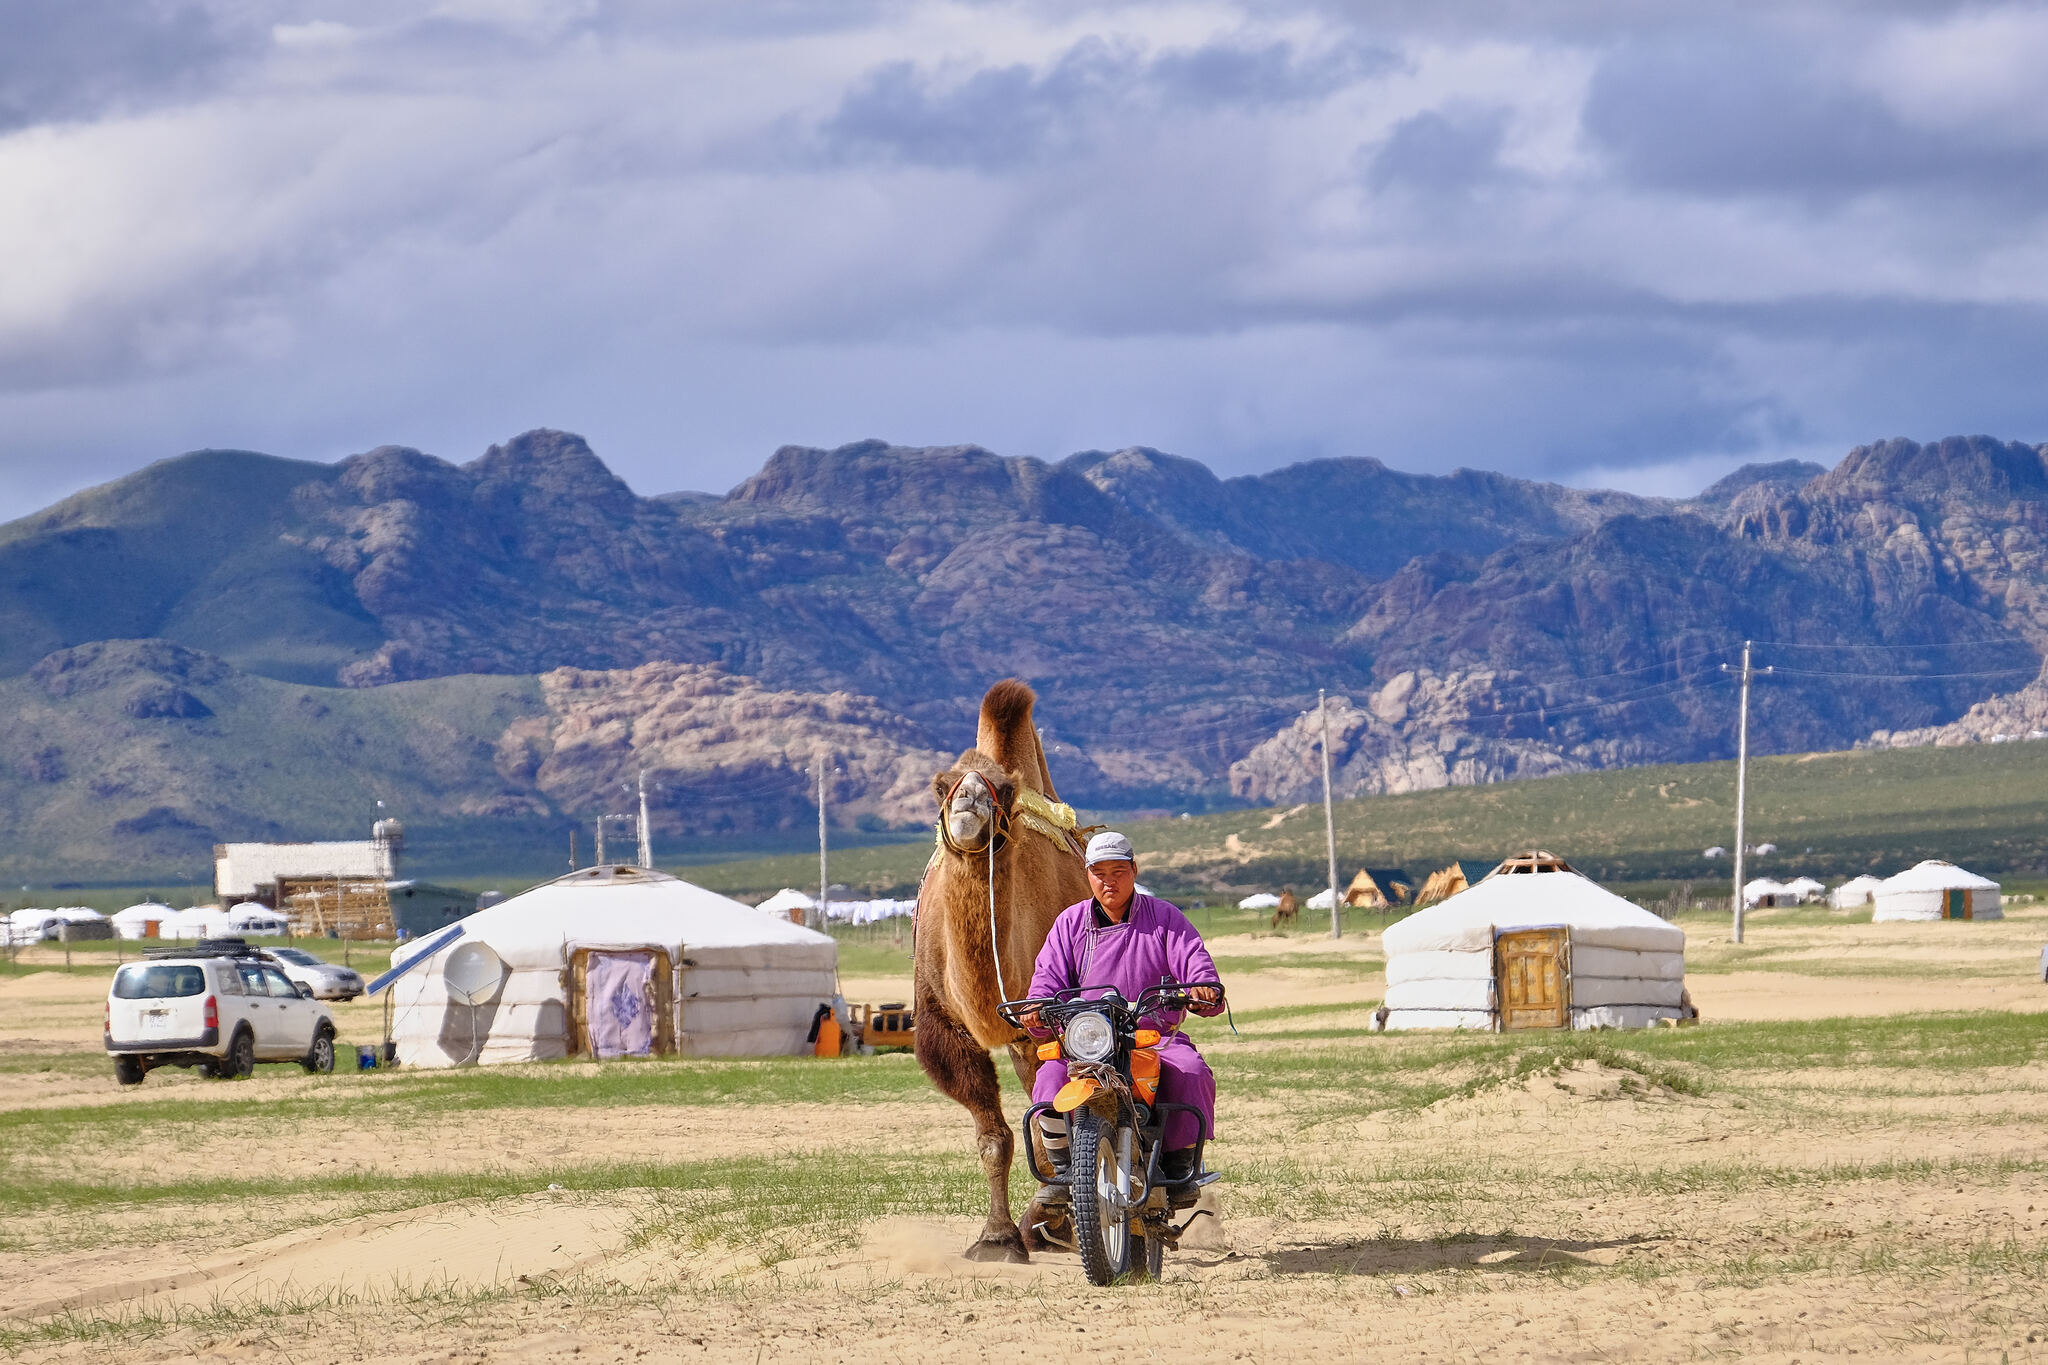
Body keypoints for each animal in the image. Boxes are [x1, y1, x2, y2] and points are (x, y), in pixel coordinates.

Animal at [921, 679, 1097, 1268]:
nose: (969, 803)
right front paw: (997, 1237)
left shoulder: (1044, 1022)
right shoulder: (945, 1025)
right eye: (942, 785)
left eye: (1003, 790)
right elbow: (994, 1137)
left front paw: (1041, 1217)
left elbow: (1056, 1118)